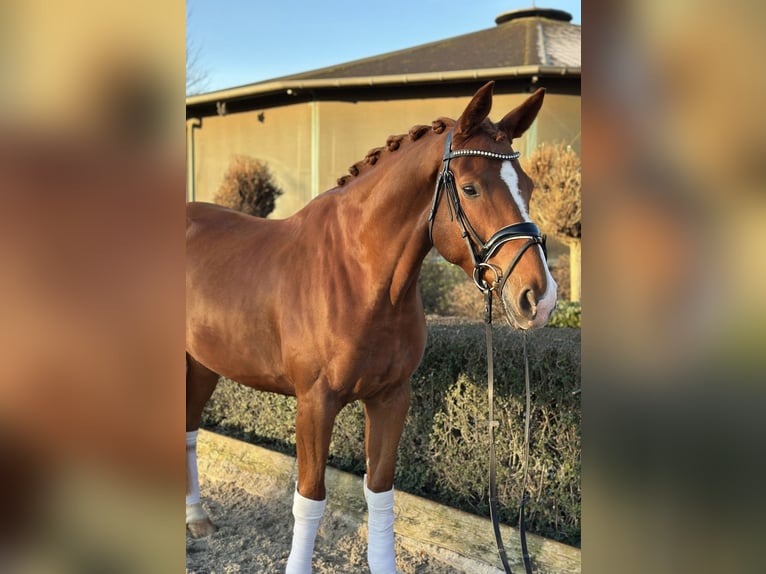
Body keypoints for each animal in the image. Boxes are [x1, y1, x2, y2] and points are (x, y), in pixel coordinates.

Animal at [186, 82, 560, 574]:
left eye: (529, 186)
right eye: (471, 187)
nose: (540, 297)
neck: (359, 276)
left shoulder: (390, 398)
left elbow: (380, 493)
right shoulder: (315, 403)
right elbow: (310, 497)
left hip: (201, 364)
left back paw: (196, 519)